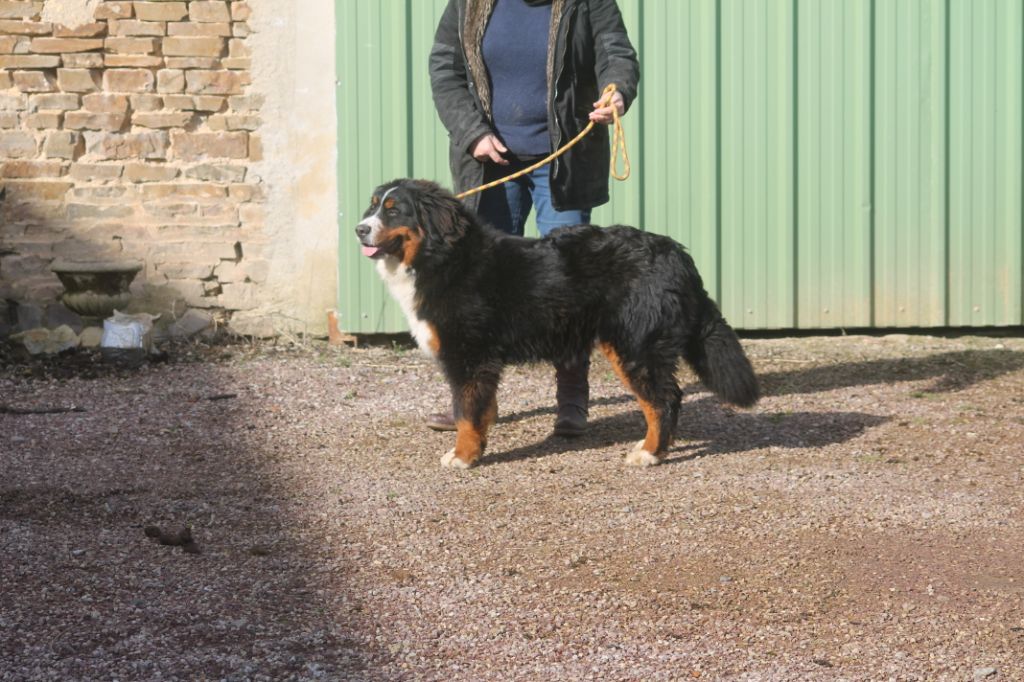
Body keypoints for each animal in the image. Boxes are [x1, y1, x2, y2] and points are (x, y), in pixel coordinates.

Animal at [356, 178, 757, 466]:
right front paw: (480, 442)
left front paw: (464, 456)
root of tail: (677, 253)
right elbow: (480, 408)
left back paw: (649, 453)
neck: (443, 258)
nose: (360, 228)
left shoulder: (468, 355)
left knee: (664, 400)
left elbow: (466, 413)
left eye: (394, 211)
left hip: (635, 346)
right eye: (373, 205)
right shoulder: (481, 362)